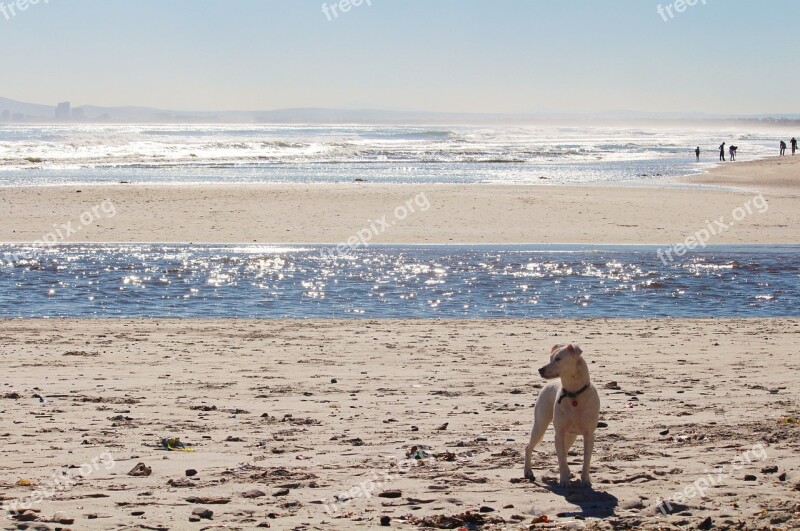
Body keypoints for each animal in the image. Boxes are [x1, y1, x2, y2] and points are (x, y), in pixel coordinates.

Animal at [524, 342, 600, 488]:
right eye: (550, 358)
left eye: (558, 359)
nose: (540, 369)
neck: (573, 394)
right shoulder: (558, 433)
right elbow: (560, 458)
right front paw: (564, 480)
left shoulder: (589, 434)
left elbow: (586, 458)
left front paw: (585, 480)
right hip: (540, 425)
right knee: (529, 447)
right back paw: (528, 472)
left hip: (571, 435)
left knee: (564, 452)